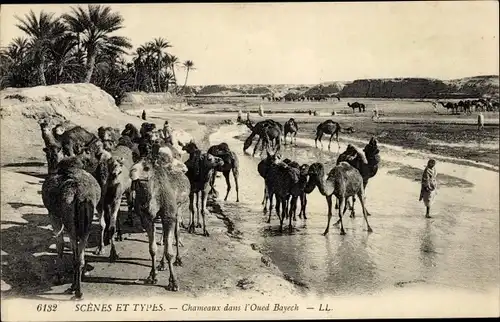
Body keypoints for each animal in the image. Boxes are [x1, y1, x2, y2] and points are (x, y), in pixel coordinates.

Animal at [43, 155, 101, 300]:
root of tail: (80, 196)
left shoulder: (53, 215)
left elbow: (60, 244)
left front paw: (58, 277)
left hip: (70, 221)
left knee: (75, 255)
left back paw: (76, 290)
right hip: (86, 223)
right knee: (80, 257)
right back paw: (77, 289)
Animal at [130, 145, 190, 290]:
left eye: (146, 167)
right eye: (133, 164)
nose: (131, 173)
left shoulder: (169, 216)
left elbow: (169, 252)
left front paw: (173, 282)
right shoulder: (146, 218)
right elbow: (152, 249)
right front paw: (152, 276)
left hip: (180, 208)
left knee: (176, 233)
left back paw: (178, 259)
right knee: (164, 237)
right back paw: (161, 264)